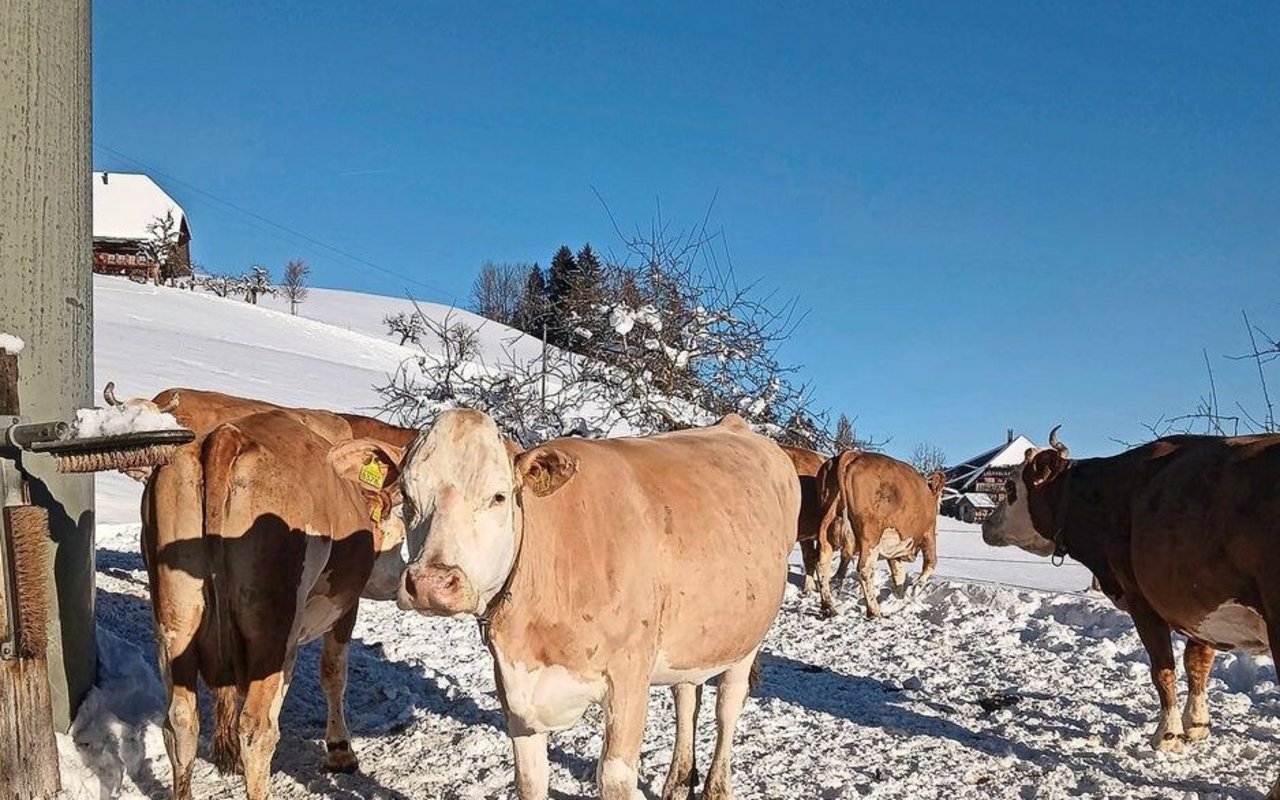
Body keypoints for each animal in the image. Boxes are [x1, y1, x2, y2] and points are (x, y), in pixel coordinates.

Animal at [143, 412, 407, 798]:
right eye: (399, 539)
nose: (401, 579)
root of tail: (226, 437)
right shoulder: (345, 607)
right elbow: (333, 674)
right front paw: (340, 751)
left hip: (175, 620)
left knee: (180, 721)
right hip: (273, 629)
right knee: (257, 729)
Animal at [389, 412, 793, 798]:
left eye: (498, 497)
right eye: (406, 497)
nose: (430, 583)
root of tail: (736, 425)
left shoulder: (629, 677)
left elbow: (614, 779)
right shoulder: (514, 687)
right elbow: (529, 780)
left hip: (746, 641)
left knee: (727, 708)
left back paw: (716, 788)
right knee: (685, 697)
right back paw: (677, 782)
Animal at [814, 450, 947, 616]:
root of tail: (853, 454)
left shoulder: (895, 548)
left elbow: (898, 574)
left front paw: (900, 598)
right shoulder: (928, 534)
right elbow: (931, 562)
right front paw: (916, 588)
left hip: (826, 529)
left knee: (821, 564)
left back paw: (828, 606)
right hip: (871, 536)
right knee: (864, 569)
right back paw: (875, 611)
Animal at [983, 430, 1274, 798]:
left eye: (1010, 488)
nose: (986, 524)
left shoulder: (1142, 601)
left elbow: (1163, 670)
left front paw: (1168, 735)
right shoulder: (1195, 602)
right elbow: (1198, 663)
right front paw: (1196, 724)